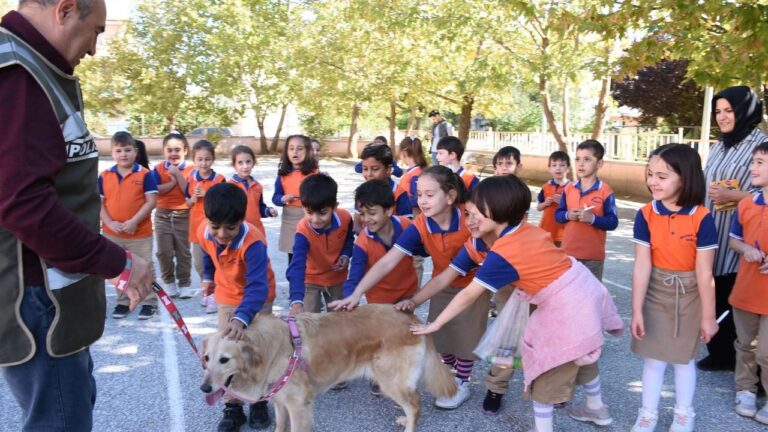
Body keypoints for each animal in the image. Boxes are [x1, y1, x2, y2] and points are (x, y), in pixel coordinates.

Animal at [201, 304, 460, 432]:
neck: (268, 350)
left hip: (390, 379)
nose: (204, 388)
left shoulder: (298, 405)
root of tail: (411, 318)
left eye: (224, 360)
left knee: (414, 404)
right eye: (206, 358)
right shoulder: (280, 401)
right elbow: (280, 426)